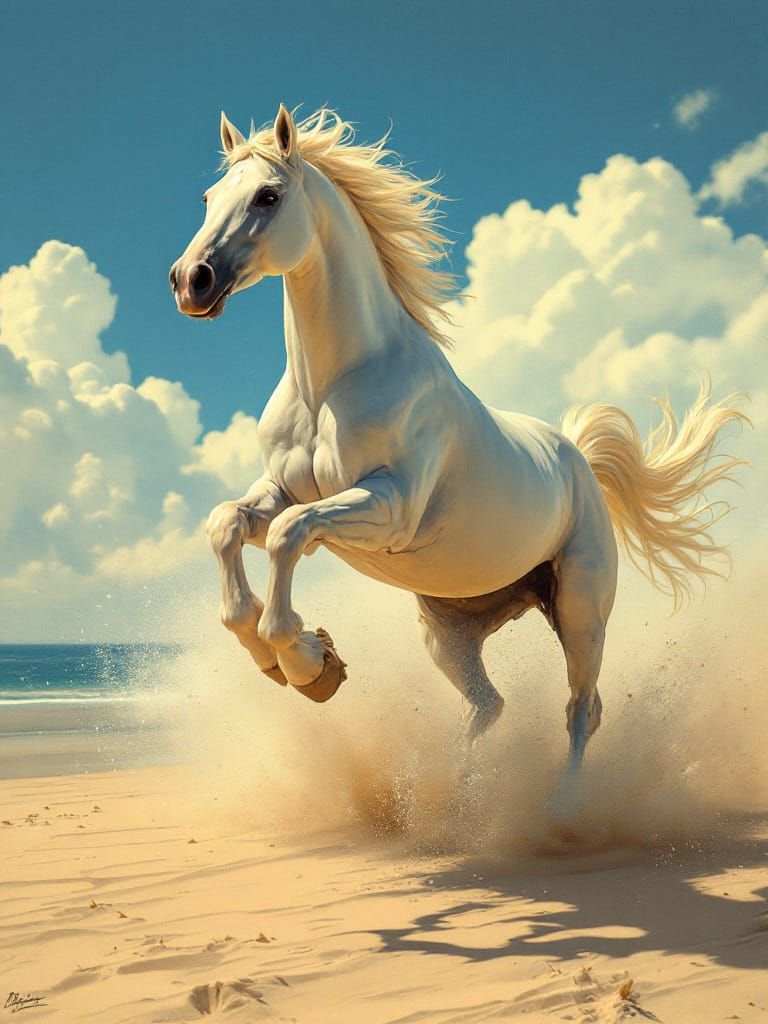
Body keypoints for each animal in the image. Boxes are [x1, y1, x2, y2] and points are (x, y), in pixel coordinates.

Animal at [170, 104, 746, 770]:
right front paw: (296, 660)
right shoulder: (279, 492)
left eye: (268, 195)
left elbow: (290, 535)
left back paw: (560, 798)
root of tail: (576, 458)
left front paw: (311, 664)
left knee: (582, 710)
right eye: (208, 197)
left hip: (581, 611)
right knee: (489, 706)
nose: (190, 281)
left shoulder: (387, 507)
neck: (334, 384)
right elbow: (227, 526)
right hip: (448, 631)